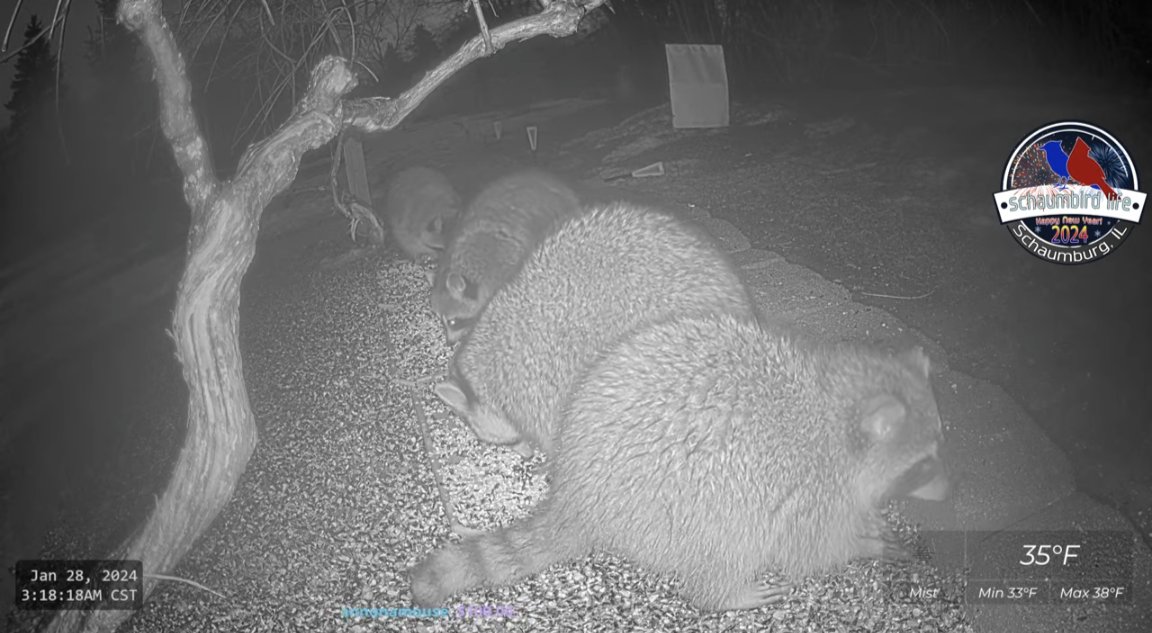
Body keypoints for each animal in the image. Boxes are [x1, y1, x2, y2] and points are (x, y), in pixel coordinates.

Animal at [411, 313, 949, 610]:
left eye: (939, 448)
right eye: (924, 465)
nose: (950, 489)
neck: (832, 407)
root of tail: (576, 493)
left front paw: (874, 525)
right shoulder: (809, 485)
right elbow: (812, 546)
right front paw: (863, 544)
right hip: (686, 500)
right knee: (732, 537)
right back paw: (723, 594)